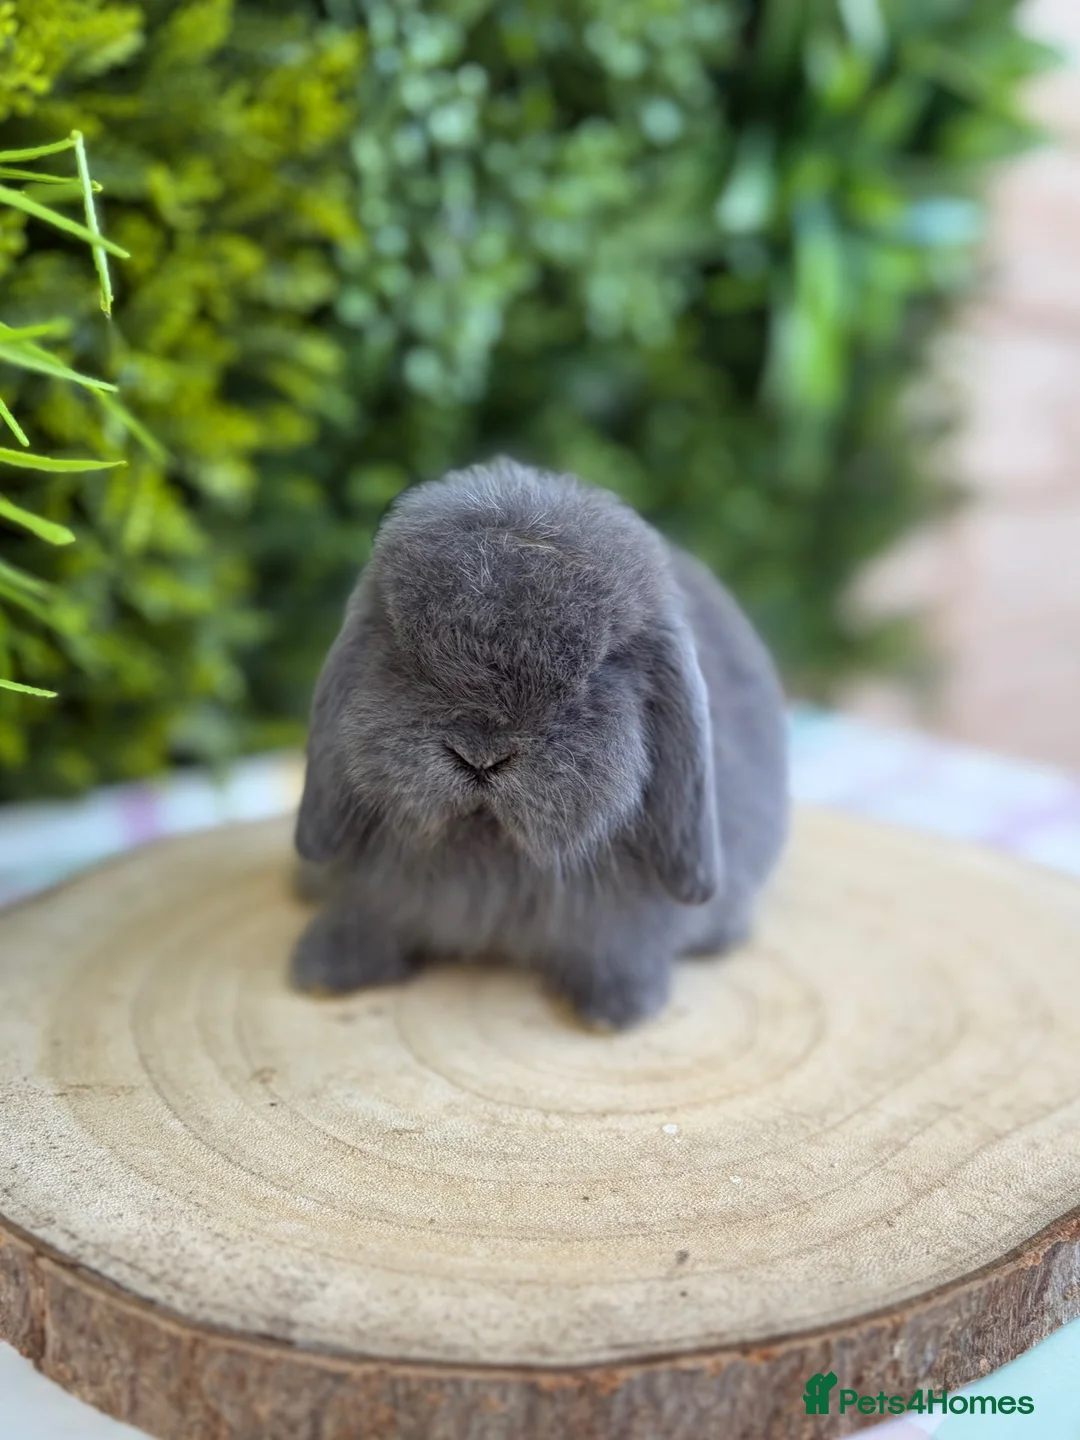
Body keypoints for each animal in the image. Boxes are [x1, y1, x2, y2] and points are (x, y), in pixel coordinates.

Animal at [289, 456, 789, 1030]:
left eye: (598, 669)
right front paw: (324, 969)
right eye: (403, 648)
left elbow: (620, 942)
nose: (480, 756)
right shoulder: (373, 890)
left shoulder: (624, 917)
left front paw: (613, 1008)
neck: (491, 846)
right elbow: (367, 914)